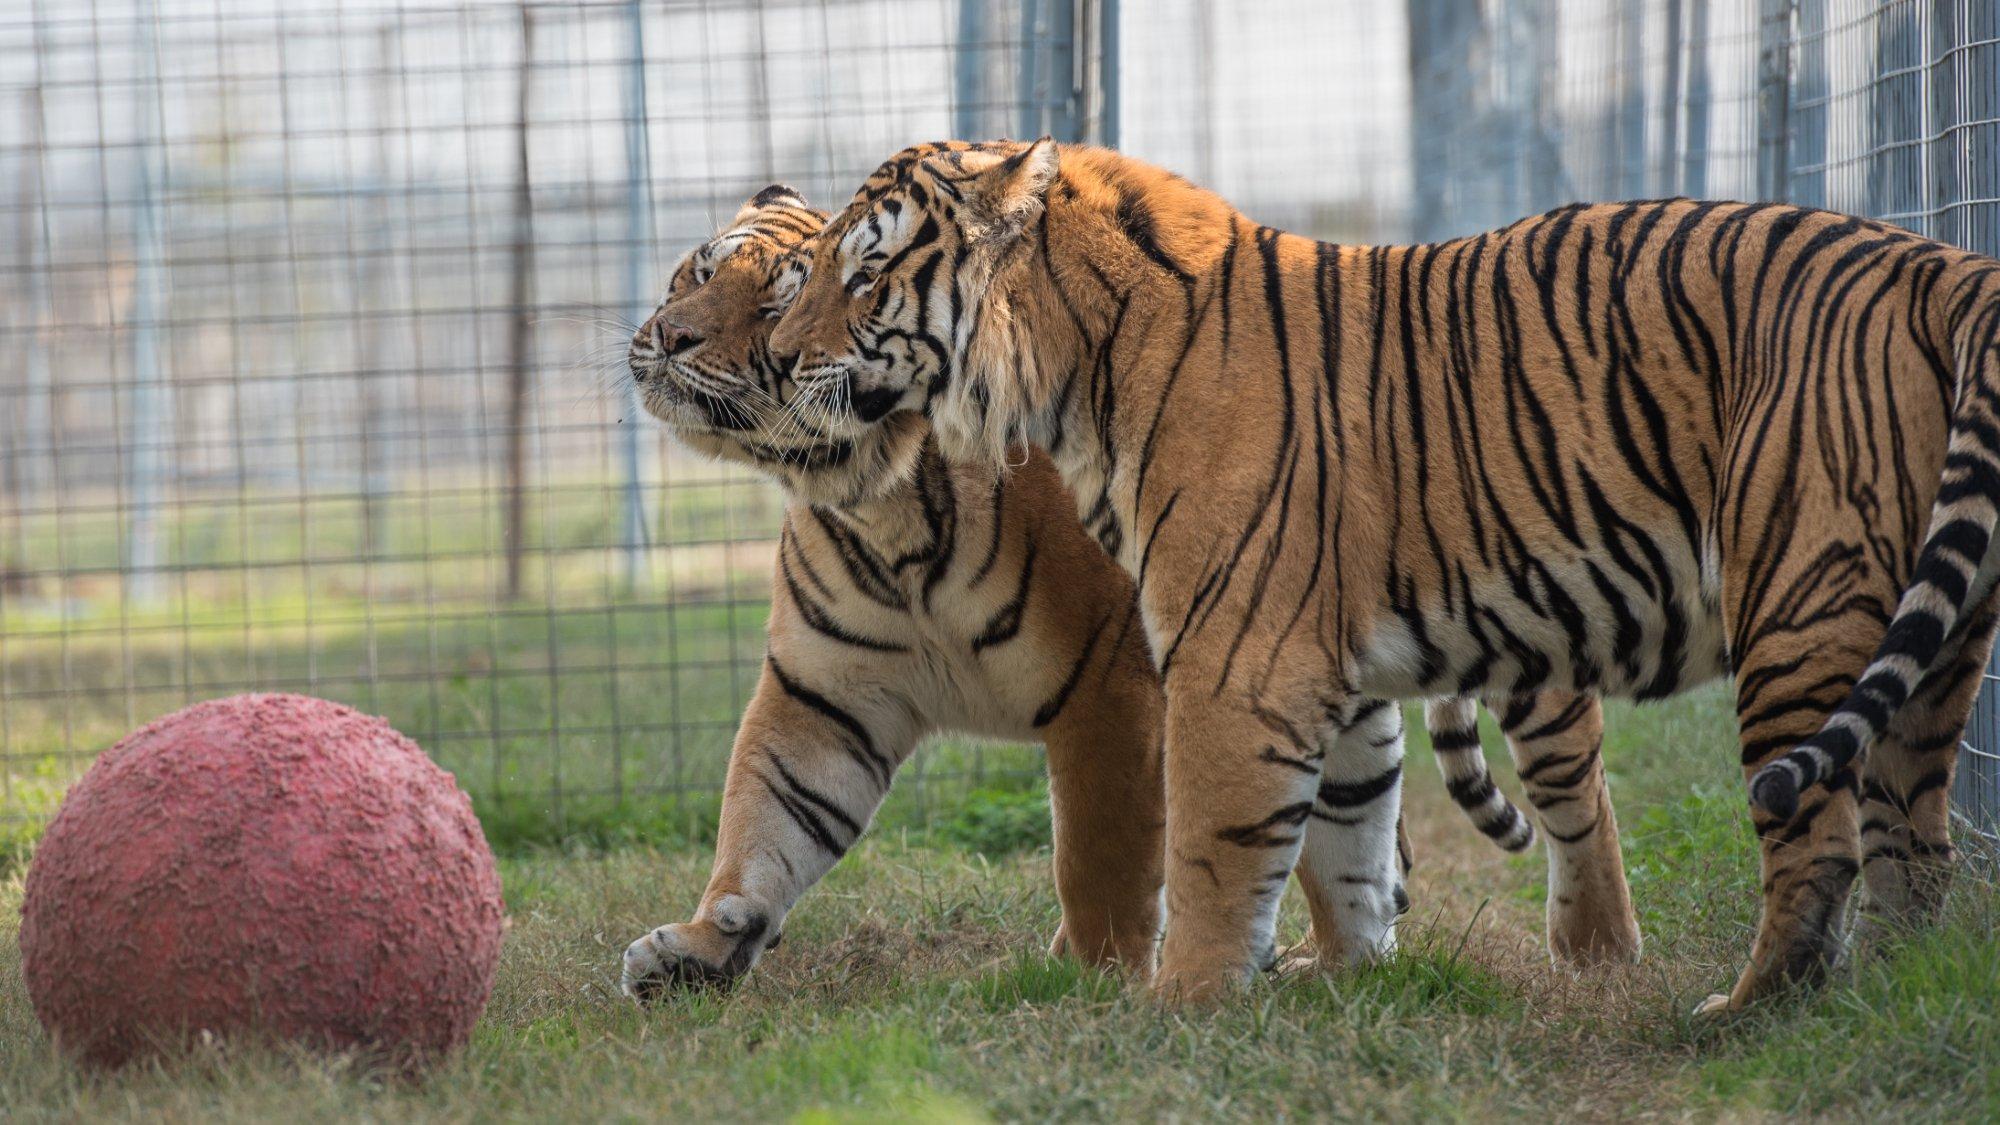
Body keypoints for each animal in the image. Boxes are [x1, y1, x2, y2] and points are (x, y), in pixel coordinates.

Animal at [616, 188, 1632, 992]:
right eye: (695, 272)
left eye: (781, 301)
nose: (666, 335)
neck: (877, 499)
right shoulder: (824, 693)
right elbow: (766, 821)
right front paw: (702, 943)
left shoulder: (1111, 686)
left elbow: (1097, 855)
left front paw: (1089, 974)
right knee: (1356, 819)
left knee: (1575, 791)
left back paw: (1598, 954)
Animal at [772, 140, 2000, 1008]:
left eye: (866, 273)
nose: (779, 358)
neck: (1076, 368)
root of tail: (1939, 261)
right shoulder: (1330, 664)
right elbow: (1348, 831)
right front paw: (1353, 975)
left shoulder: (1233, 661)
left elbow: (1215, 848)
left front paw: (1182, 1005)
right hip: (1936, 646)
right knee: (1913, 840)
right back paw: (1879, 994)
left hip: (1799, 599)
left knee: (1819, 842)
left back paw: (1744, 1010)